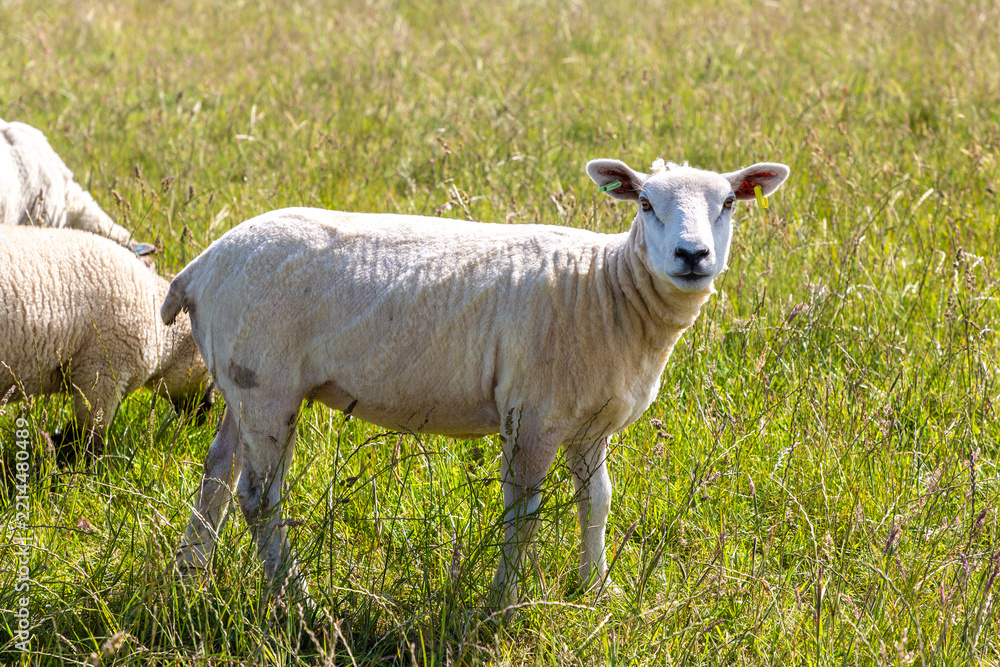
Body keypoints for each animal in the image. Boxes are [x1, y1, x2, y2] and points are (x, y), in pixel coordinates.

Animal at [162, 157, 789, 606]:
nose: (693, 255)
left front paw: (596, 589)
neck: (604, 291)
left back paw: (190, 576)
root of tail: (198, 267)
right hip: (267, 385)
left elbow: (597, 502)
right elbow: (524, 513)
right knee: (258, 497)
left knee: (218, 472)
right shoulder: (534, 415)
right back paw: (295, 599)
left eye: (728, 203)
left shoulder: (591, 423)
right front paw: (502, 602)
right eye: (644, 202)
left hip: (241, 381)